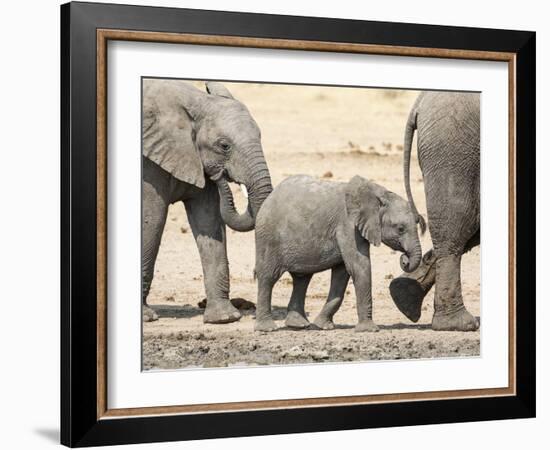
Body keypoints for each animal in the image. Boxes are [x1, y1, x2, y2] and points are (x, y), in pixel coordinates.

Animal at [141, 80, 272, 324]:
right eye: (224, 146)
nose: (220, 175)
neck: (197, 101)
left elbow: (209, 220)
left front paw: (224, 318)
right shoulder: (149, 163)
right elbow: (152, 219)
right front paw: (146, 317)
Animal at [256, 174, 424, 332]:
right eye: (400, 228)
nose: (405, 259)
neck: (379, 194)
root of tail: (269, 197)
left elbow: (342, 274)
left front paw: (323, 326)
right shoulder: (347, 225)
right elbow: (359, 267)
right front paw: (369, 330)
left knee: (302, 279)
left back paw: (298, 325)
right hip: (268, 237)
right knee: (268, 277)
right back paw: (267, 328)